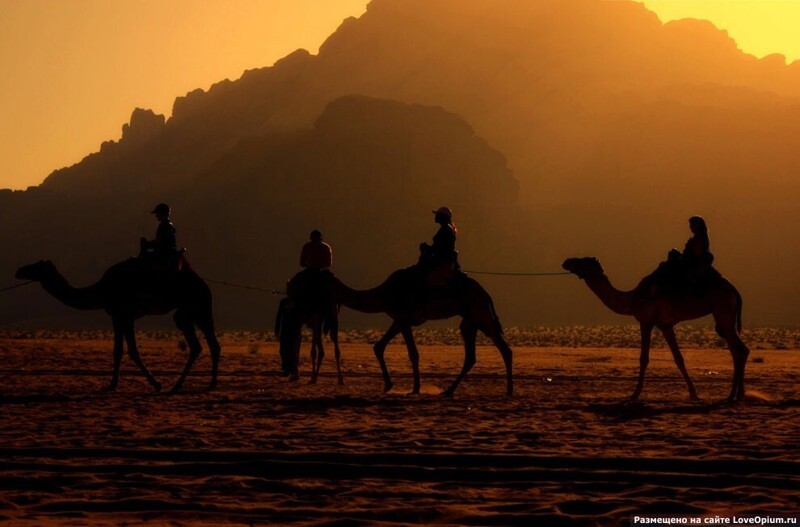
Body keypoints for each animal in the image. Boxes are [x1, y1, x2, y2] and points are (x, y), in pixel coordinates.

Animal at [15, 258, 220, 394]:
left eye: (38, 266)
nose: (19, 271)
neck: (102, 289)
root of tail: (205, 285)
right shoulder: (120, 316)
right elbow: (121, 350)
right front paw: (114, 384)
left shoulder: (123, 314)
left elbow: (129, 351)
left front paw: (154, 384)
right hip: (199, 310)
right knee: (212, 344)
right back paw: (210, 383)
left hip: (190, 306)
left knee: (196, 343)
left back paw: (178, 385)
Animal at [282, 268, 516, 396]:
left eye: (318, 282)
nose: (301, 293)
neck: (384, 292)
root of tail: (486, 294)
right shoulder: (399, 319)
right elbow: (378, 346)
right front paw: (388, 384)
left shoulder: (403, 318)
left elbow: (413, 353)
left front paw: (415, 388)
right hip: (472, 320)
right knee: (477, 354)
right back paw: (453, 391)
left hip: (479, 313)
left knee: (501, 349)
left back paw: (507, 389)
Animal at [560, 258, 748, 402]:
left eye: (583, 261)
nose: (566, 262)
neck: (631, 300)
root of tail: (734, 290)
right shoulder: (665, 325)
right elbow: (679, 358)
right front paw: (694, 394)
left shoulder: (646, 321)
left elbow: (644, 359)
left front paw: (634, 394)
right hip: (725, 314)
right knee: (738, 349)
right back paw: (738, 394)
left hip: (723, 310)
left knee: (738, 349)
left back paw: (732, 395)